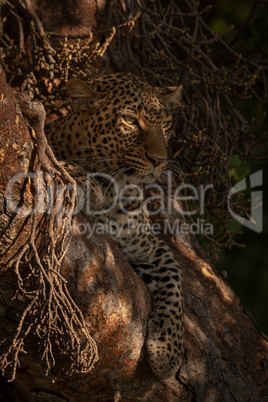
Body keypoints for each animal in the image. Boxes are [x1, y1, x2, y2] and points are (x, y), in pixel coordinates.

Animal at [46, 73, 184, 380]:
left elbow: (175, 284)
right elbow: (59, 162)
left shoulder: (150, 248)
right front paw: (85, 182)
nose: (160, 161)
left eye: (165, 125)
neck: (116, 187)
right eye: (130, 120)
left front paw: (168, 351)